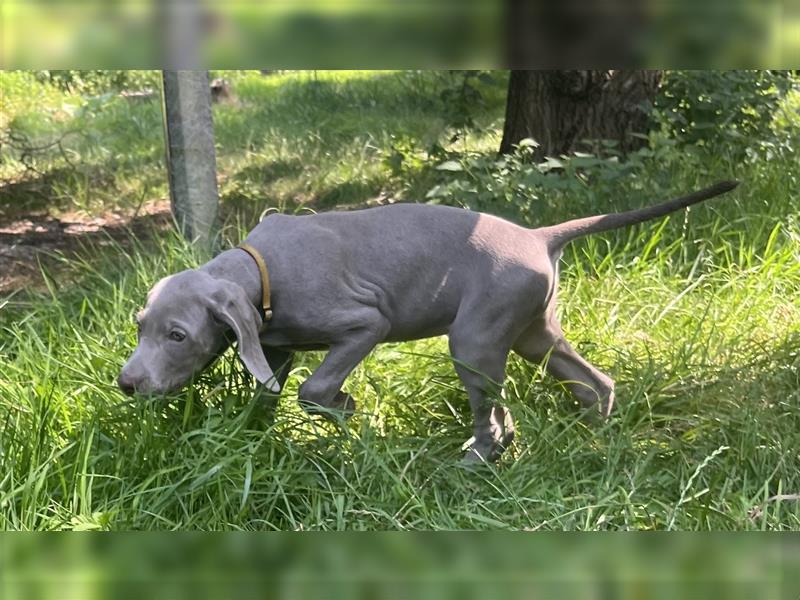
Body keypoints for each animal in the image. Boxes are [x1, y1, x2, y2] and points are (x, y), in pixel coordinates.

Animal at [117, 180, 736, 462]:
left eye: (177, 336)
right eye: (140, 326)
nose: (126, 384)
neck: (258, 270)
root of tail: (539, 236)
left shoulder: (365, 323)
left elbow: (315, 390)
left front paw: (346, 409)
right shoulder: (273, 345)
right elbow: (267, 391)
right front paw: (246, 439)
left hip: (474, 336)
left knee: (493, 409)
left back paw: (480, 457)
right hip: (532, 331)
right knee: (591, 381)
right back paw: (594, 439)